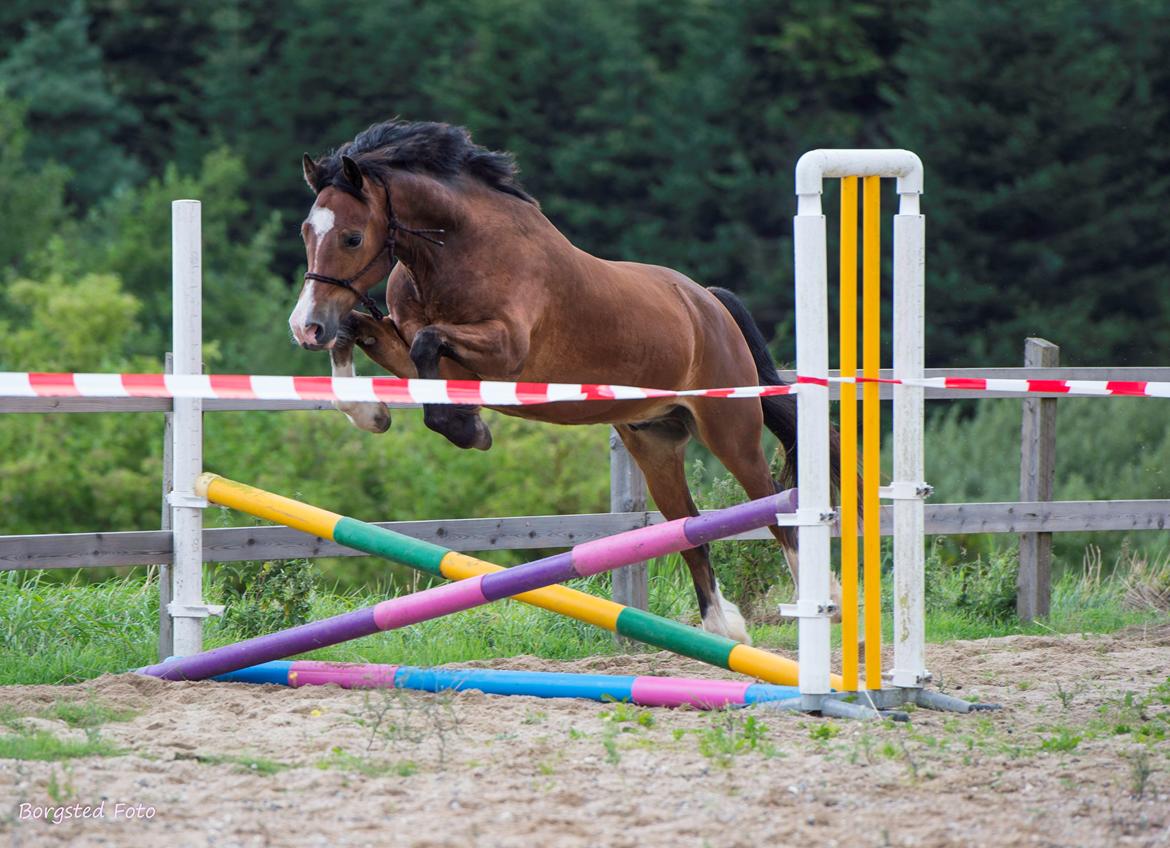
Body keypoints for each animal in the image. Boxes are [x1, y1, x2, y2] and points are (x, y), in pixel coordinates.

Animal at [292, 119, 842, 640]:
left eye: (352, 237)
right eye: (305, 233)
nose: (305, 326)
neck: (457, 253)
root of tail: (707, 302)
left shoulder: (504, 353)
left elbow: (427, 344)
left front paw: (470, 429)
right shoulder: (414, 349)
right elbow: (361, 332)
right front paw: (372, 414)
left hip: (730, 431)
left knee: (774, 506)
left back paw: (820, 601)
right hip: (655, 441)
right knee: (687, 524)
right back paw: (722, 627)